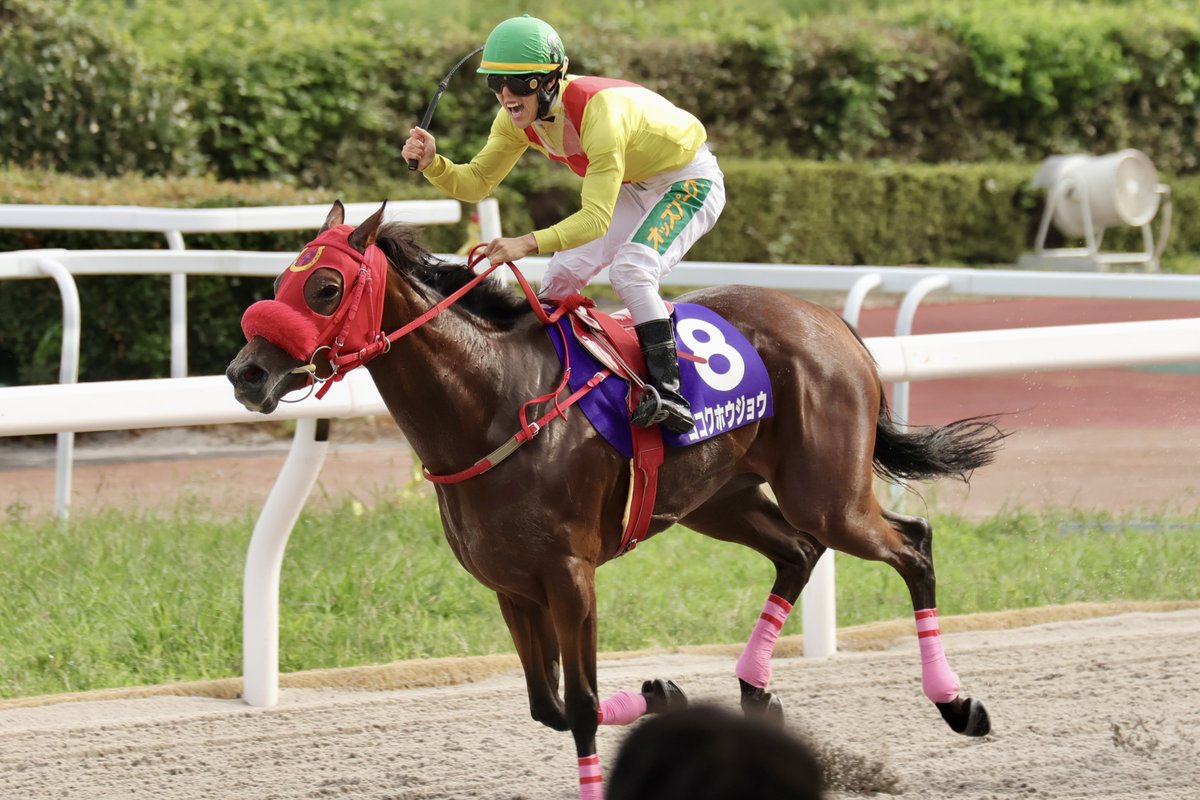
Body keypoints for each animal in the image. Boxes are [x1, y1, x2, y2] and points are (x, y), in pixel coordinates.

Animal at [227, 201, 1006, 798]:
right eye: (281, 279)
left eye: (326, 288)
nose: (245, 374)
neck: (494, 401)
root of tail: (833, 323)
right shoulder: (512, 586)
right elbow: (548, 706)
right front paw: (667, 695)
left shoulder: (570, 577)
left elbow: (581, 707)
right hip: (719, 500)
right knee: (799, 552)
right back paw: (756, 693)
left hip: (828, 494)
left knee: (911, 544)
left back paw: (958, 704)